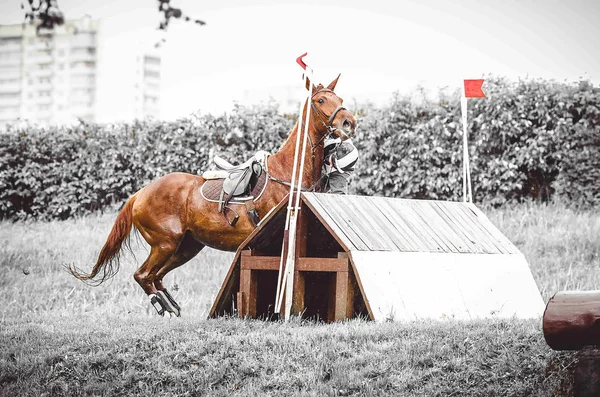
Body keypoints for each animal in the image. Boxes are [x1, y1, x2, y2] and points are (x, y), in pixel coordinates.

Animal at [69, 75, 356, 316]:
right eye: (321, 101)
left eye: (340, 100)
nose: (349, 123)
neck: (288, 171)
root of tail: (139, 194)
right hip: (165, 243)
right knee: (143, 275)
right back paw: (165, 308)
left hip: (187, 247)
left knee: (155, 276)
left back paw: (172, 306)